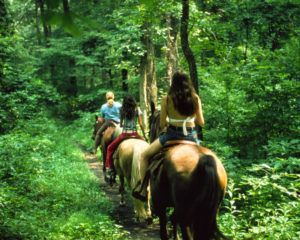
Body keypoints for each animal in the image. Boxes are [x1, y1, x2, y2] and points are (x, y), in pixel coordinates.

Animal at [148, 103, 227, 240]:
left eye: (150, 121)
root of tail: (206, 160)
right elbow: (173, 220)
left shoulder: (160, 205)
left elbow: (164, 229)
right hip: (208, 213)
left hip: (187, 216)